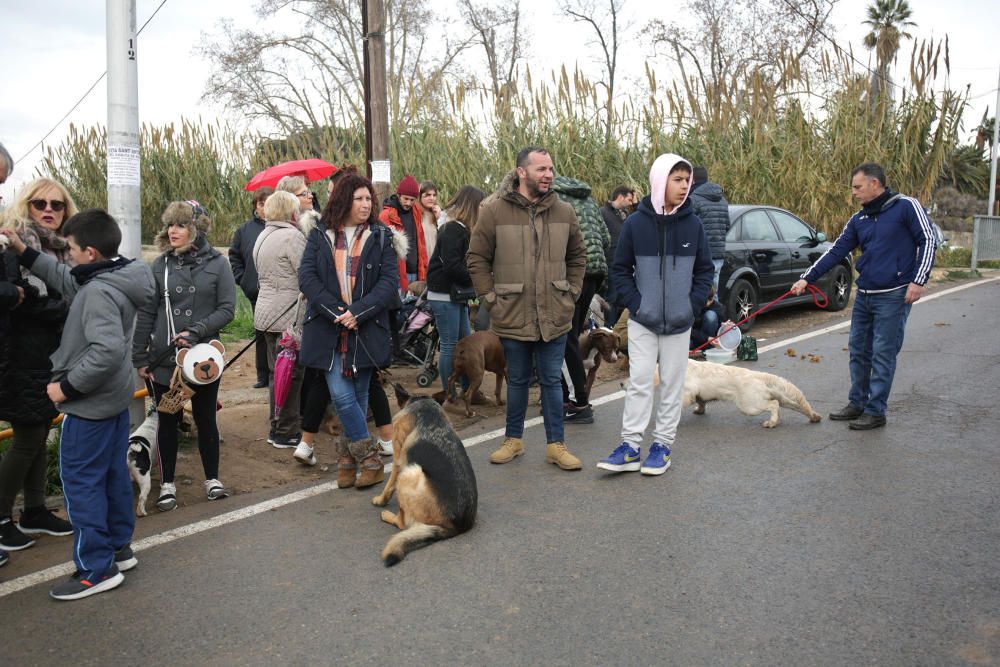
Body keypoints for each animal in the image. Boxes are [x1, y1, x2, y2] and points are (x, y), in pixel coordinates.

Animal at [684, 360, 824, 428]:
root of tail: (759, 375)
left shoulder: (687, 392)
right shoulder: (698, 394)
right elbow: (701, 401)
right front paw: (700, 410)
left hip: (749, 406)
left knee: (774, 404)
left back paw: (771, 423)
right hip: (781, 398)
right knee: (795, 405)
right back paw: (814, 417)